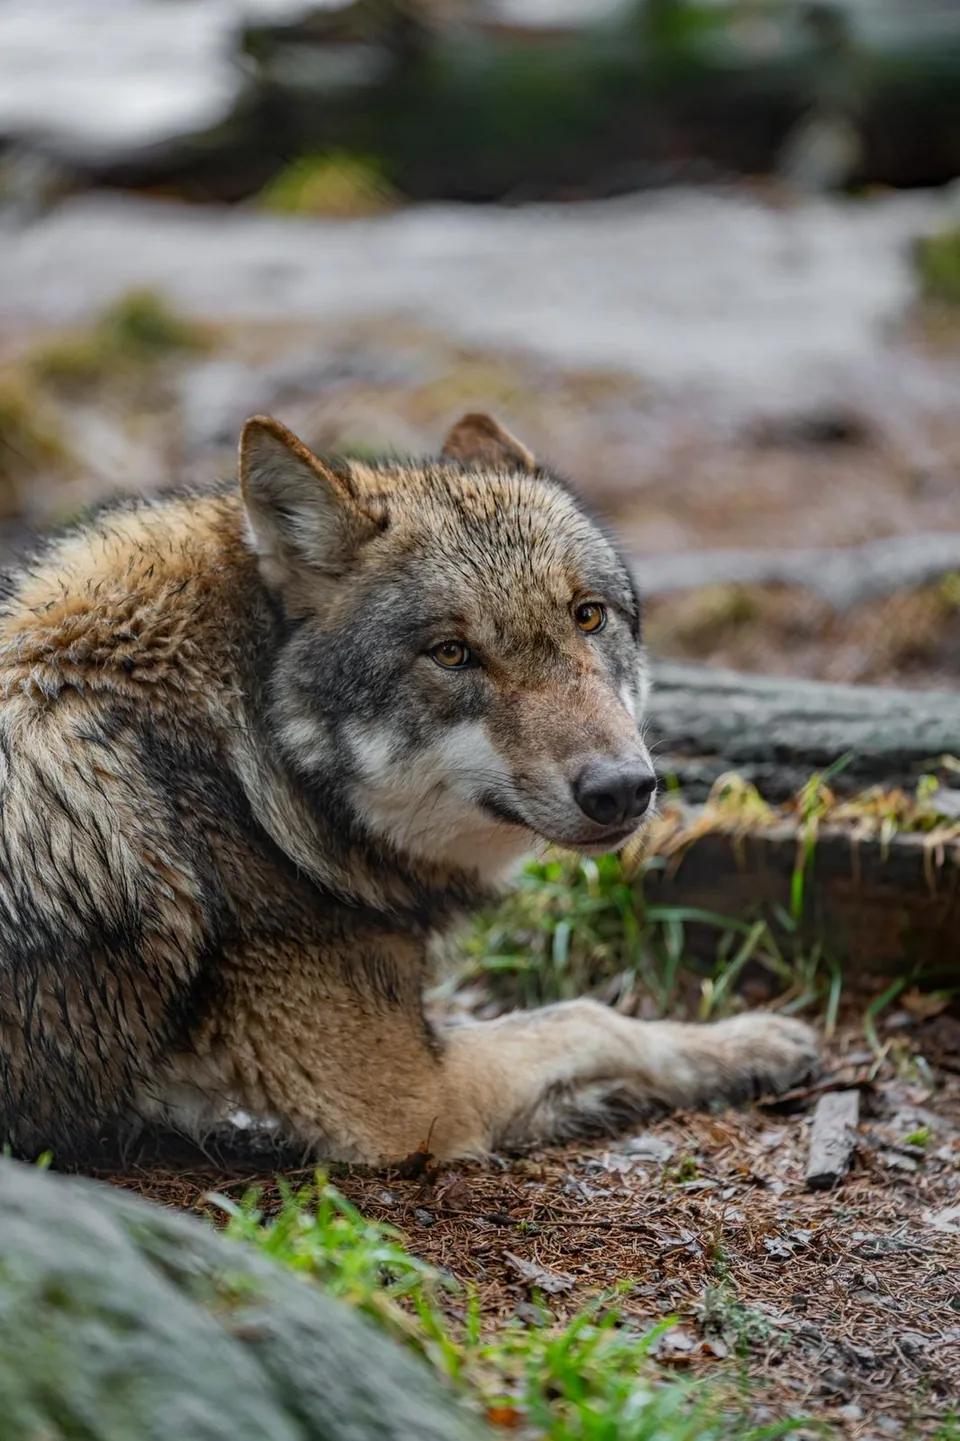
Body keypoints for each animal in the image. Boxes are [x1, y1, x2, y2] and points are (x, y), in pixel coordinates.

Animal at [0, 410, 819, 1165]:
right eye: (452, 654)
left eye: (589, 616)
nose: (623, 789)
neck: (241, 766)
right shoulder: (407, 1100)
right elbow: (590, 1018)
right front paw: (751, 1045)